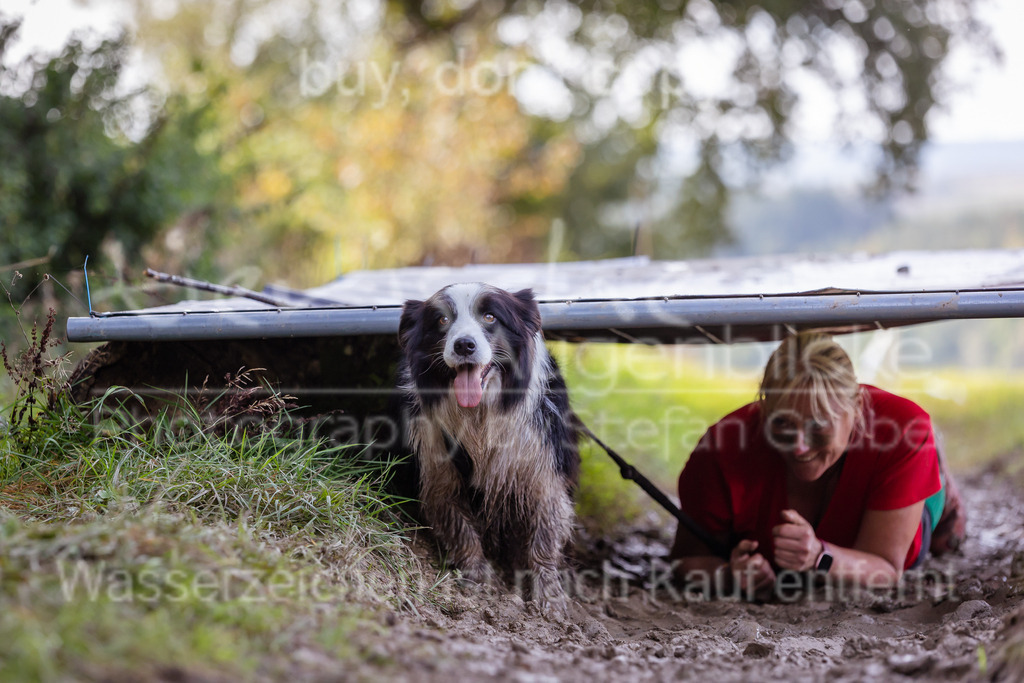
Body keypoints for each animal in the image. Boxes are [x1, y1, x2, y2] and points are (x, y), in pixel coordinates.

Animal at [395, 282, 581, 602]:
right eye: (442, 320)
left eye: (490, 317)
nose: (464, 345)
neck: (480, 414)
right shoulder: (439, 465)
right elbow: (458, 524)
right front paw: (476, 575)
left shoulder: (544, 467)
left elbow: (545, 533)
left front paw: (548, 595)